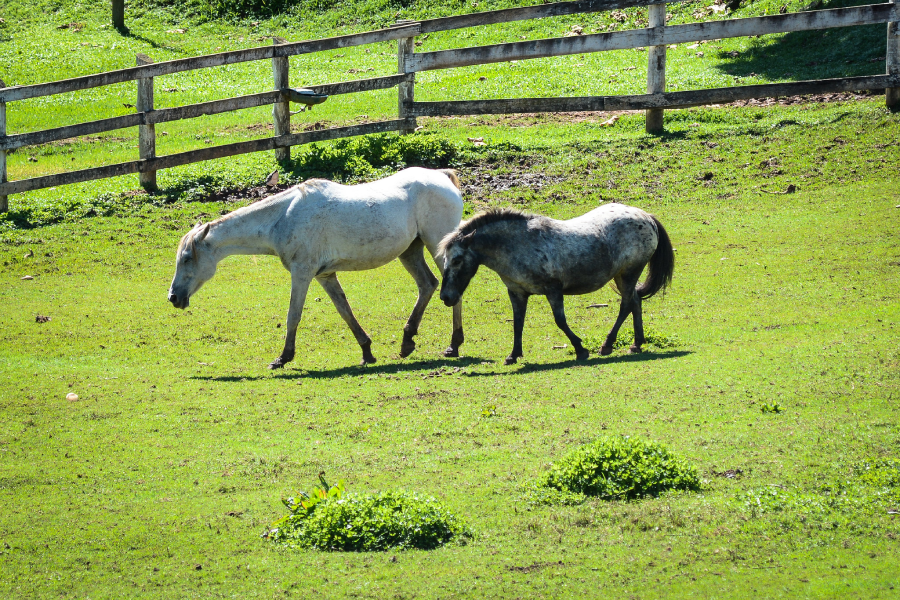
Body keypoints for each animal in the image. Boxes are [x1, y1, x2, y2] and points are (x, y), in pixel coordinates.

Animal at [167, 166, 464, 368]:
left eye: (187, 258)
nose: (173, 297)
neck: (284, 216)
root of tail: (441, 176)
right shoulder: (325, 275)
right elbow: (345, 311)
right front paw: (367, 351)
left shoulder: (302, 273)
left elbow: (293, 315)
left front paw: (283, 357)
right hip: (410, 251)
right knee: (427, 285)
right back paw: (407, 341)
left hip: (437, 246)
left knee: (452, 288)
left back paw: (453, 345)